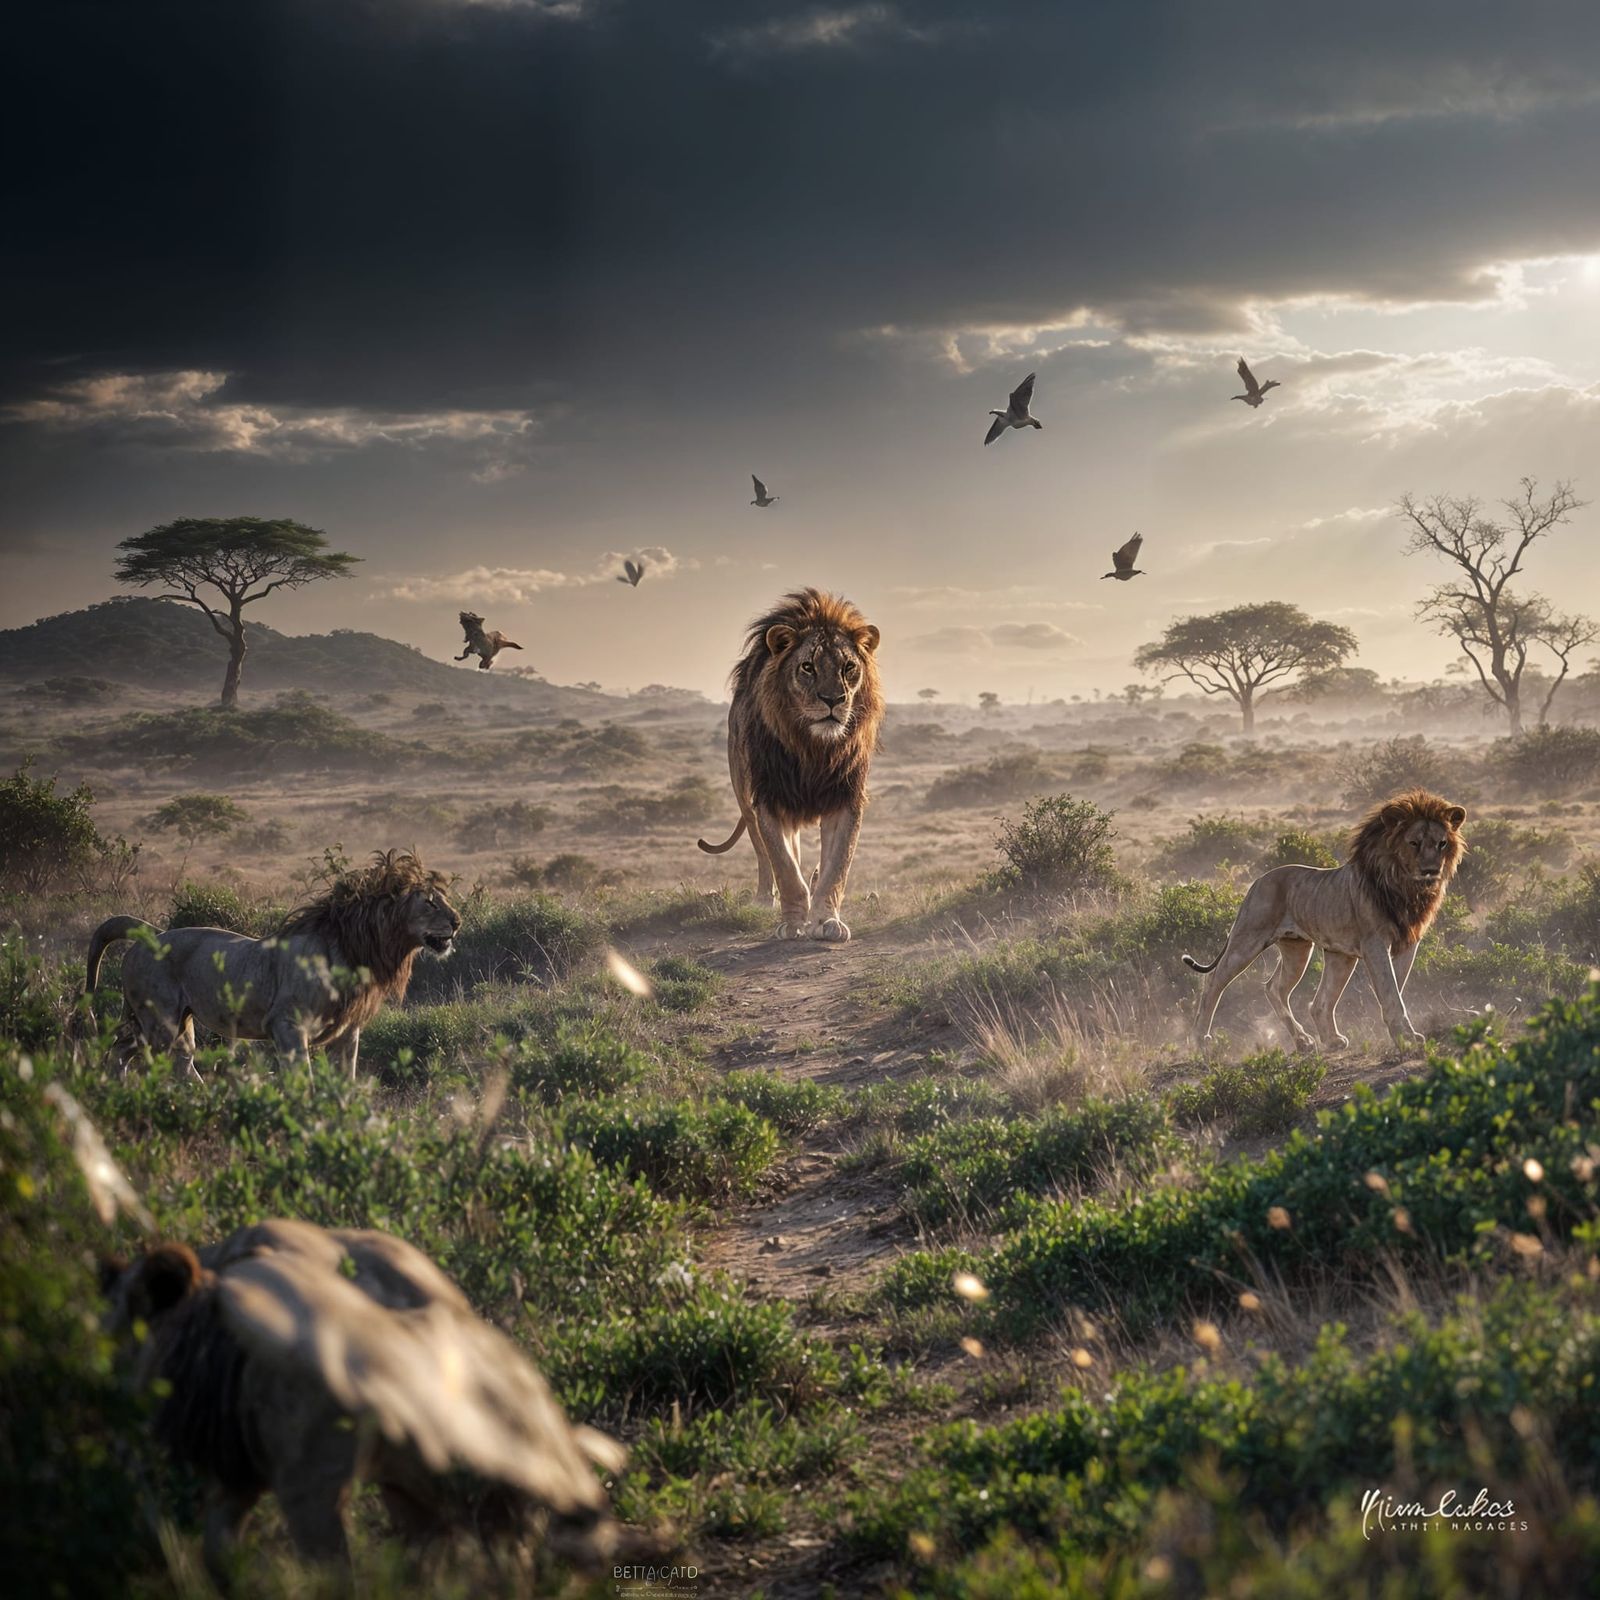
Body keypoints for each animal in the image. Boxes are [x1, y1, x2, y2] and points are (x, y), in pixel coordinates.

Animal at [85, 849, 460, 1080]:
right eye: (430, 903)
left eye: (445, 900)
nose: (457, 921)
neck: (357, 949)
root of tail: (151, 934)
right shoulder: (287, 1025)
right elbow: (303, 1081)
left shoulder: (347, 1033)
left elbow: (347, 1083)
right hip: (159, 1021)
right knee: (139, 1057)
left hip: (175, 1025)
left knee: (155, 1058)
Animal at [697, 588, 882, 941]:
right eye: (807, 667)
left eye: (848, 666)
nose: (833, 700)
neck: (813, 748)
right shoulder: (769, 799)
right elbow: (784, 867)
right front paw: (793, 922)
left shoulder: (846, 798)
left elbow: (837, 867)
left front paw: (826, 920)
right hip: (745, 800)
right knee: (764, 856)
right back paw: (763, 900)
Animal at [1183, 789, 1466, 1053]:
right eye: (1414, 843)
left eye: (1441, 843)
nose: (1431, 870)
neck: (1407, 886)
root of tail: (1257, 881)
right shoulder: (1375, 944)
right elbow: (1391, 994)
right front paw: (1406, 1039)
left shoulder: (1408, 944)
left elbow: (1397, 989)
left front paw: (1404, 1035)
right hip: (1247, 940)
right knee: (1214, 981)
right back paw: (1200, 1040)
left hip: (1311, 952)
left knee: (1290, 993)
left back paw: (1315, 1041)